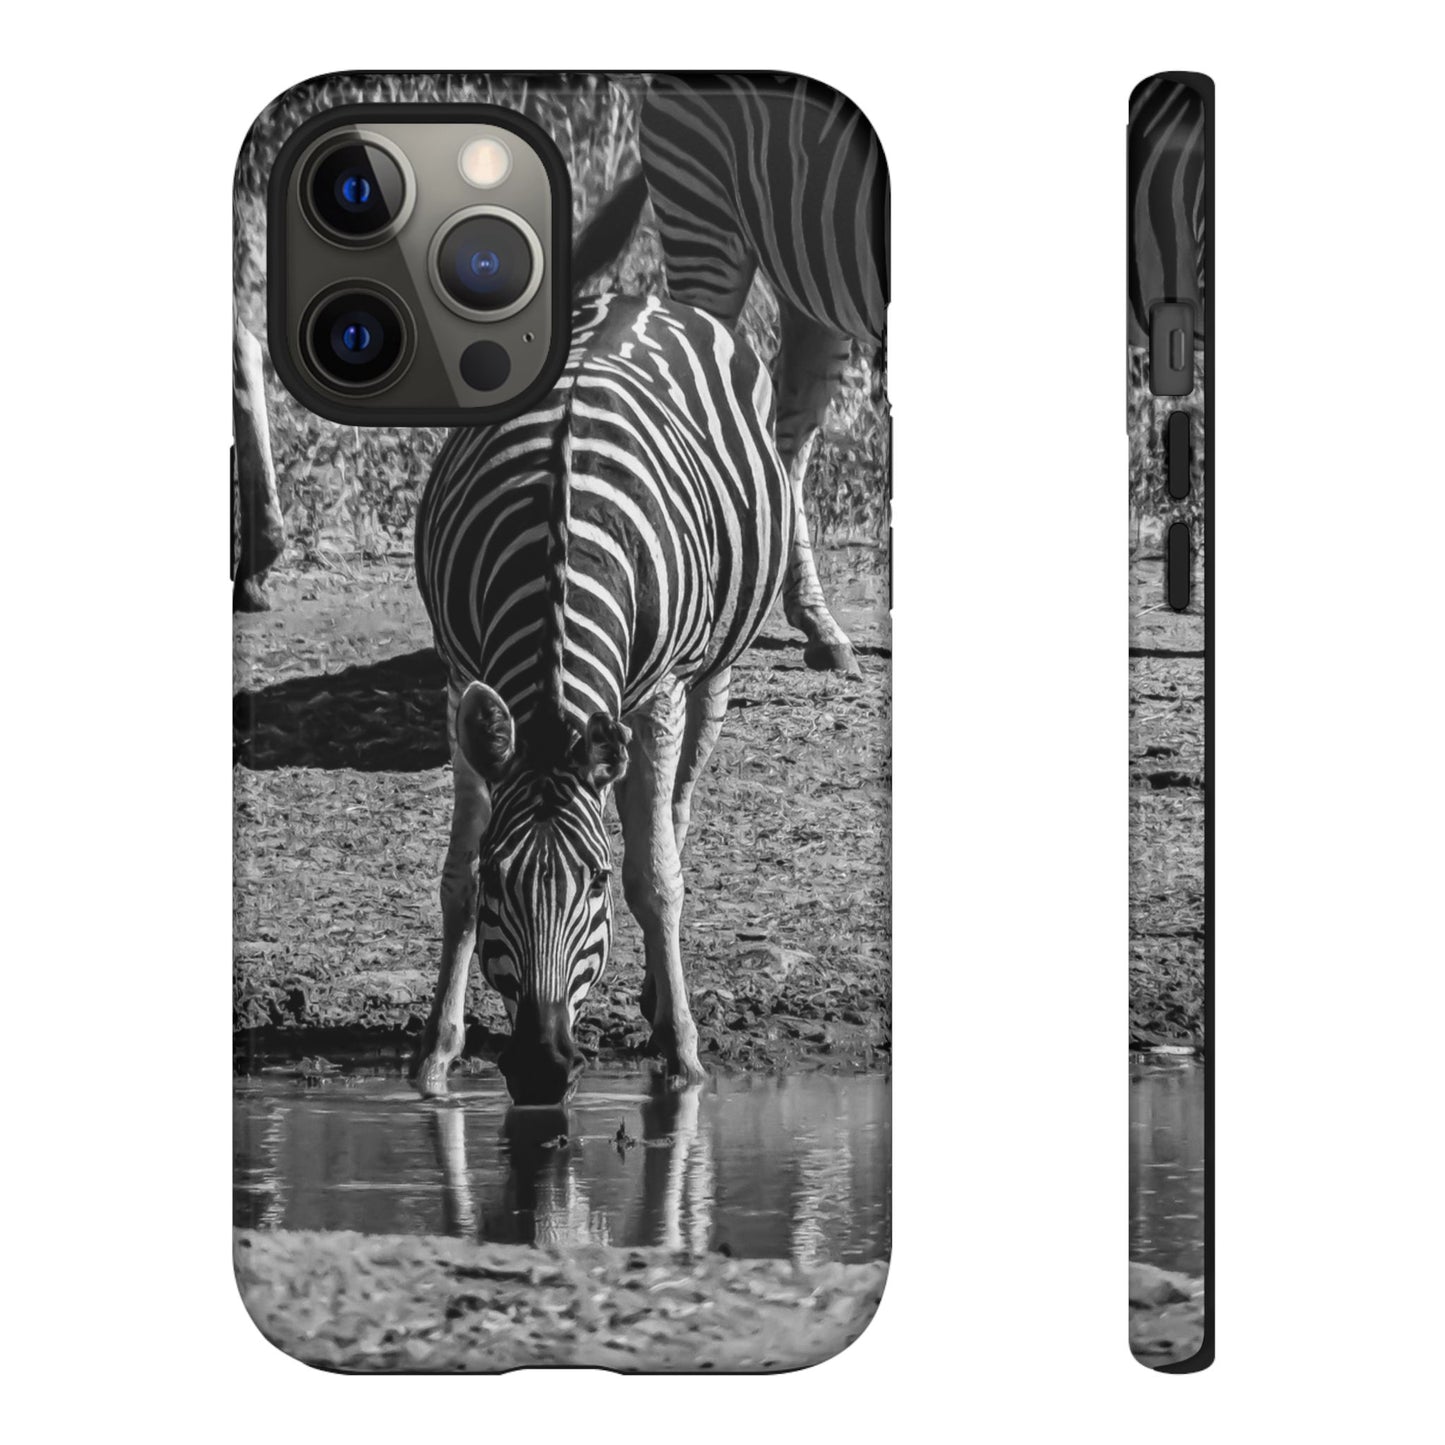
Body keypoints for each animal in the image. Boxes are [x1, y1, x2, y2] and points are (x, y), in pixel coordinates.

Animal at [413, 293, 791, 1103]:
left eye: (593, 881)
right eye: (501, 878)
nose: (540, 1067)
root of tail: (641, 296)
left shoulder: (660, 695)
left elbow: (654, 878)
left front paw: (682, 1056)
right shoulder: (460, 677)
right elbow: (455, 878)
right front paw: (435, 1054)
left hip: (708, 672)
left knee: (673, 812)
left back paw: (659, 997)